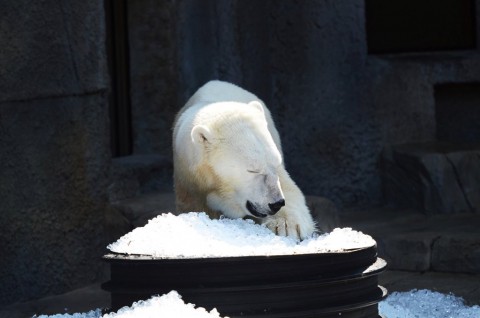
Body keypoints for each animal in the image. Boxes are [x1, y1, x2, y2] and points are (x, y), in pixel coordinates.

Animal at [174, 80, 316, 240]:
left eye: (276, 163)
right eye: (252, 170)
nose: (277, 203)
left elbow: (288, 187)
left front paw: (285, 226)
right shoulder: (190, 182)